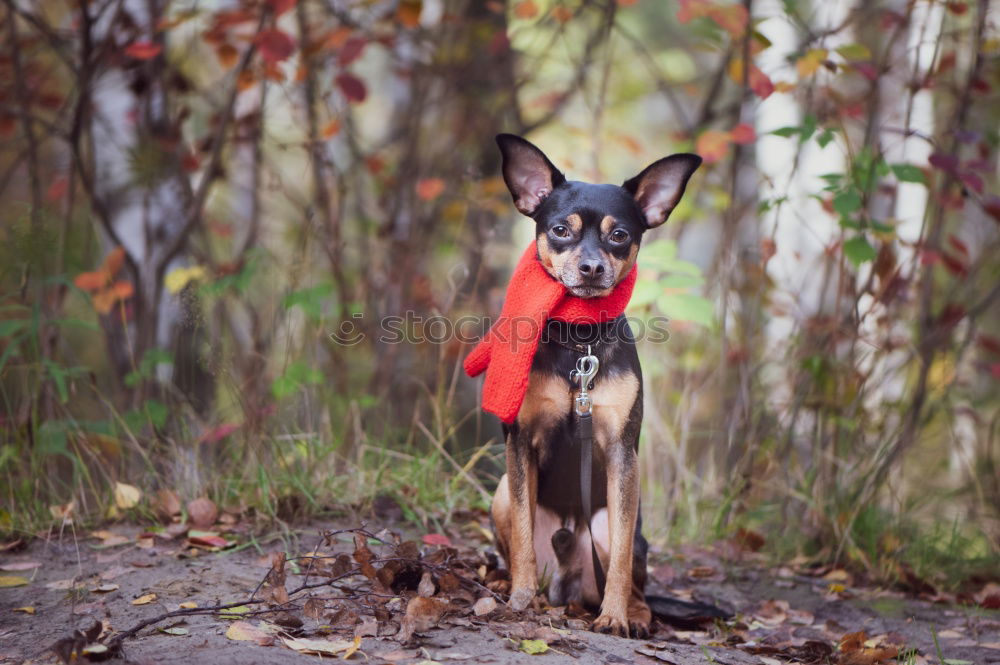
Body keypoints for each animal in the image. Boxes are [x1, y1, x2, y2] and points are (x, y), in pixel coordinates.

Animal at [484, 132, 720, 636]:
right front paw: (520, 597)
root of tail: (568, 588)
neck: (580, 341)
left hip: (605, 526)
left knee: (635, 581)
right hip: (500, 495)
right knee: (515, 543)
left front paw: (614, 617)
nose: (592, 267)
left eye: (620, 235)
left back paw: (634, 615)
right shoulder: (520, 444)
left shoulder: (620, 452)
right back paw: (508, 583)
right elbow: (523, 537)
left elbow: (622, 561)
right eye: (560, 230)